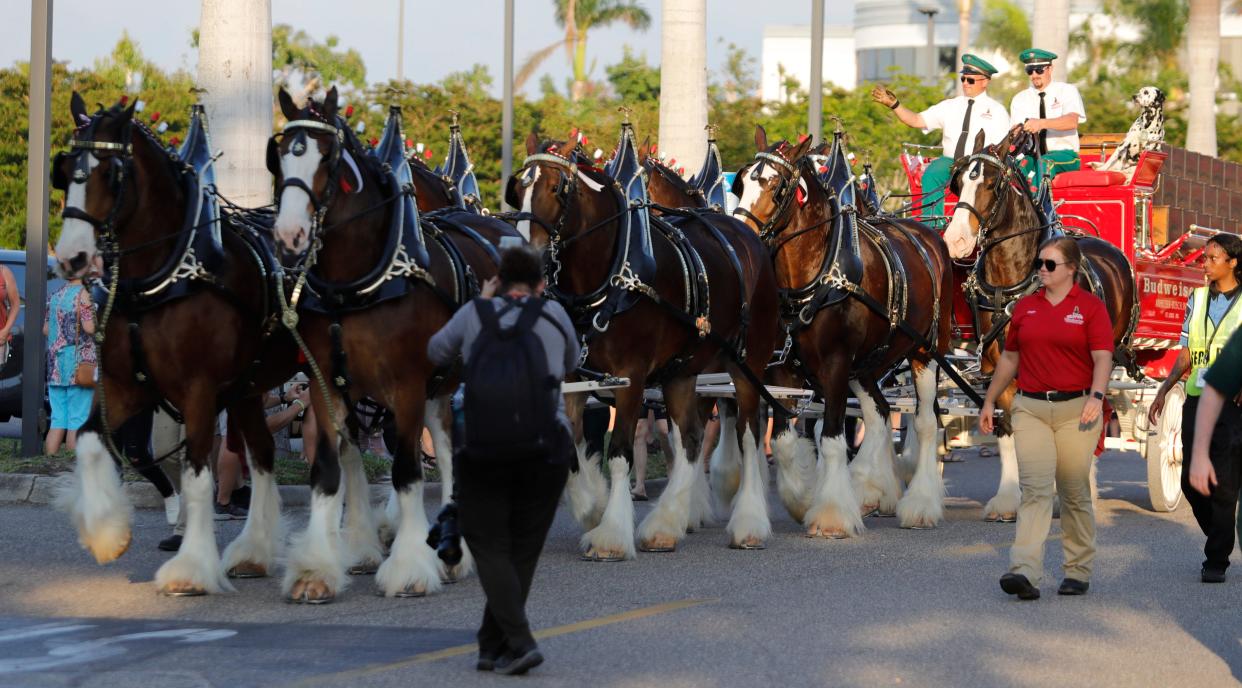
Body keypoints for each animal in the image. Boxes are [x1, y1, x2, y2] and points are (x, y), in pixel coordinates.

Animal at [52, 93, 299, 591]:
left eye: (111, 173)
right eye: (64, 171)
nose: (71, 258)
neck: (165, 276)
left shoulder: (198, 389)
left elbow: (198, 475)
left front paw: (191, 568)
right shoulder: (124, 386)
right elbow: (88, 441)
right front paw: (107, 534)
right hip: (250, 387)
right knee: (263, 453)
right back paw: (253, 552)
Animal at [269, 88, 516, 596]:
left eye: (328, 158)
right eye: (280, 155)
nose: (288, 236)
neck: (362, 282)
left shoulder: (405, 385)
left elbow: (405, 471)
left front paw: (409, 567)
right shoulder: (326, 385)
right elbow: (329, 470)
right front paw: (318, 568)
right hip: (440, 386)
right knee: (447, 447)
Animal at [504, 131, 775, 553]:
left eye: (556, 188)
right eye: (518, 189)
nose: (525, 261)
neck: (611, 275)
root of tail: (747, 236)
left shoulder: (629, 377)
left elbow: (619, 453)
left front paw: (610, 534)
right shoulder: (575, 377)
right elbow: (574, 445)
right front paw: (591, 508)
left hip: (748, 365)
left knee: (747, 435)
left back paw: (748, 524)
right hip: (683, 370)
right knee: (691, 438)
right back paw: (665, 524)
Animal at [730, 127, 953, 536]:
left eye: (777, 187)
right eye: (740, 182)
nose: (740, 234)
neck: (819, 274)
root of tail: (930, 237)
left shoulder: (835, 361)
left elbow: (833, 437)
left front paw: (831, 514)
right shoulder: (783, 369)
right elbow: (784, 440)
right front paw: (803, 499)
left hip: (925, 353)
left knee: (926, 422)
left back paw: (920, 503)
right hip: (867, 363)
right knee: (879, 412)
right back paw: (872, 488)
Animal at [938, 126, 1137, 519]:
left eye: (992, 183)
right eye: (958, 182)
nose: (956, 241)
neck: (1012, 284)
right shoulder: (999, 367)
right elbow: (1010, 430)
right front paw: (1009, 498)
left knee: (1096, 415)